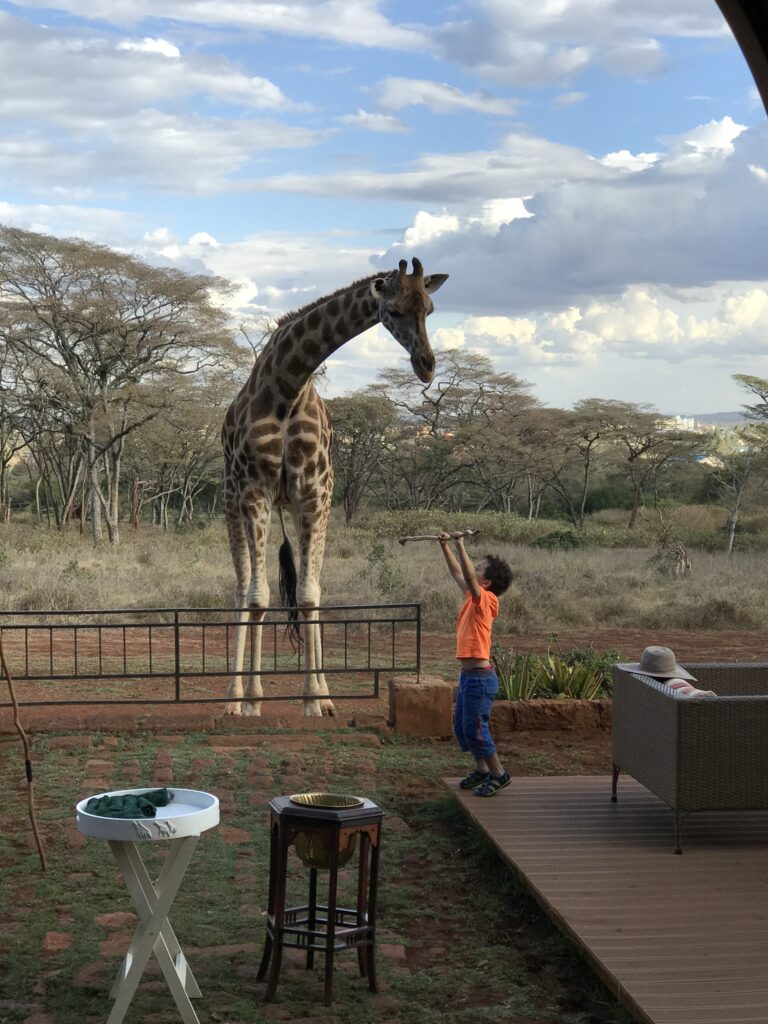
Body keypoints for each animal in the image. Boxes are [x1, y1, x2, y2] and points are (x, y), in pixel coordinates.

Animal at [221, 257, 448, 716]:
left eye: (430, 308)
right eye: (394, 310)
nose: (427, 366)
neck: (288, 385)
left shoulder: (315, 495)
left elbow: (310, 595)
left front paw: (318, 697)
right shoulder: (254, 491)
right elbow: (257, 597)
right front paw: (251, 698)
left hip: (295, 505)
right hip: (232, 501)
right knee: (242, 588)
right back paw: (237, 698)